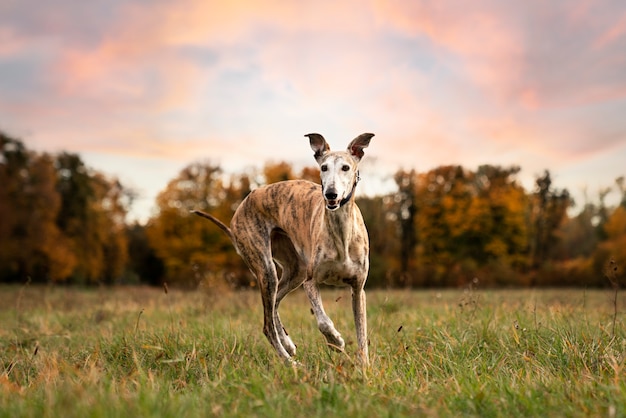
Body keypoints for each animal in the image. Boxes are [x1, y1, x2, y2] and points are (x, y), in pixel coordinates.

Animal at [193, 134, 372, 366]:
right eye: (323, 167)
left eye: (346, 167)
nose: (331, 195)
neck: (341, 232)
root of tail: (240, 208)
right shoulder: (310, 282)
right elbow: (323, 322)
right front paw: (336, 341)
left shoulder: (358, 289)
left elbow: (362, 332)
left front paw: (365, 366)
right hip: (267, 268)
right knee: (267, 325)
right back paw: (290, 362)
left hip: (295, 270)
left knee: (275, 303)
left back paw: (287, 343)